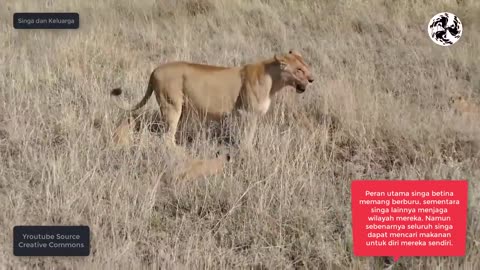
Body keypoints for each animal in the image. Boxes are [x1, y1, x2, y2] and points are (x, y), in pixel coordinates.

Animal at [111, 49, 316, 149]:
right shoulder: (247, 114)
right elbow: (248, 137)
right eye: (299, 70)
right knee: (167, 137)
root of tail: (154, 70)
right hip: (171, 106)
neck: (274, 81)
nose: (312, 79)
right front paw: (248, 153)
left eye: (306, 66)